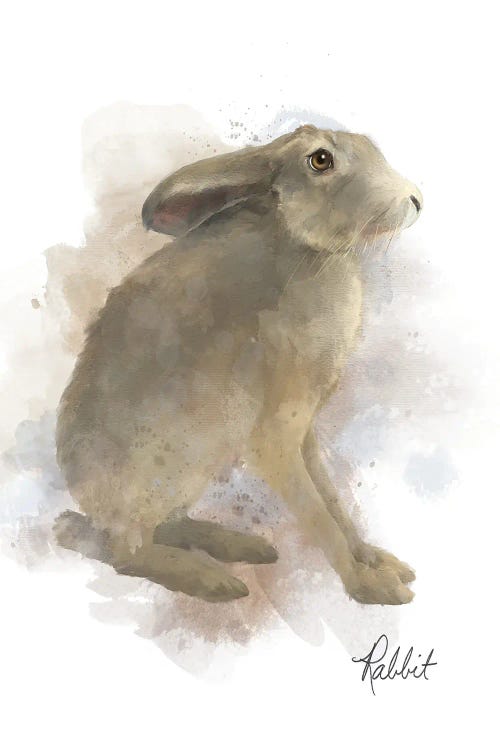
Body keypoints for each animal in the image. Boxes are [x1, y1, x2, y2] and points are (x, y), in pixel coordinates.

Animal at [54, 124, 423, 605]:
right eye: (320, 160)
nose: (415, 199)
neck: (308, 250)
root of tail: (87, 505)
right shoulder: (275, 433)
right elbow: (316, 511)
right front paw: (371, 586)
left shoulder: (305, 431)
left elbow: (331, 497)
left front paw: (379, 562)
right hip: (166, 469)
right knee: (126, 552)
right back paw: (211, 578)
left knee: (163, 529)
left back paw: (238, 545)